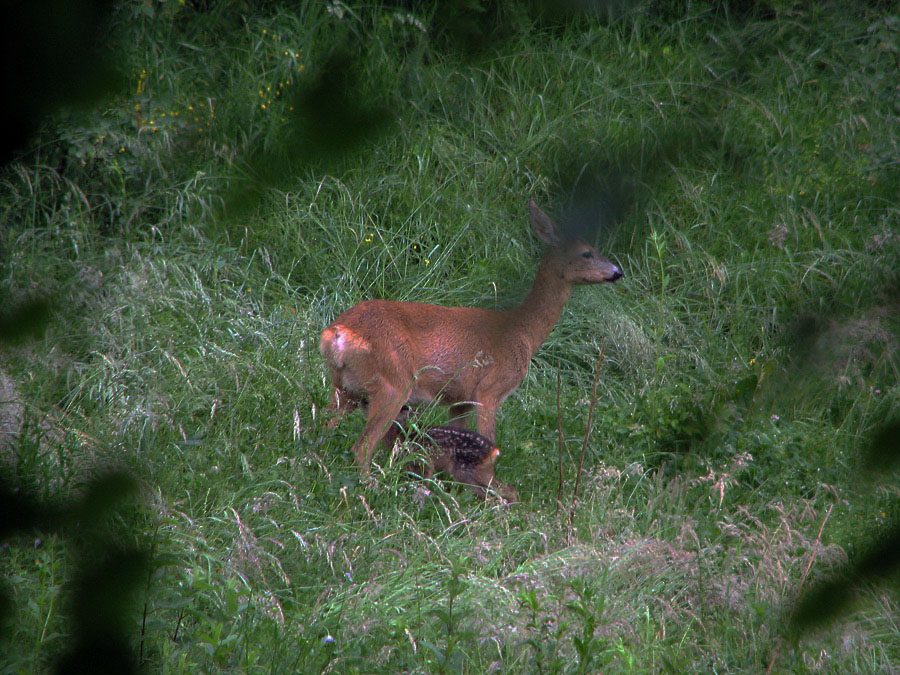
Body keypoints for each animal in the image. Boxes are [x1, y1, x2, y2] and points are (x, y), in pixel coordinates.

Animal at [320, 199, 624, 470]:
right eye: (587, 252)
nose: (617, 272)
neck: (522, 331)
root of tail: (336, 335)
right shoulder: (490, 389)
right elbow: (489, 444)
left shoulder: (460, 399)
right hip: (393, 383)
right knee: (361, 448)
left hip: (345, 386)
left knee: (321, 431)